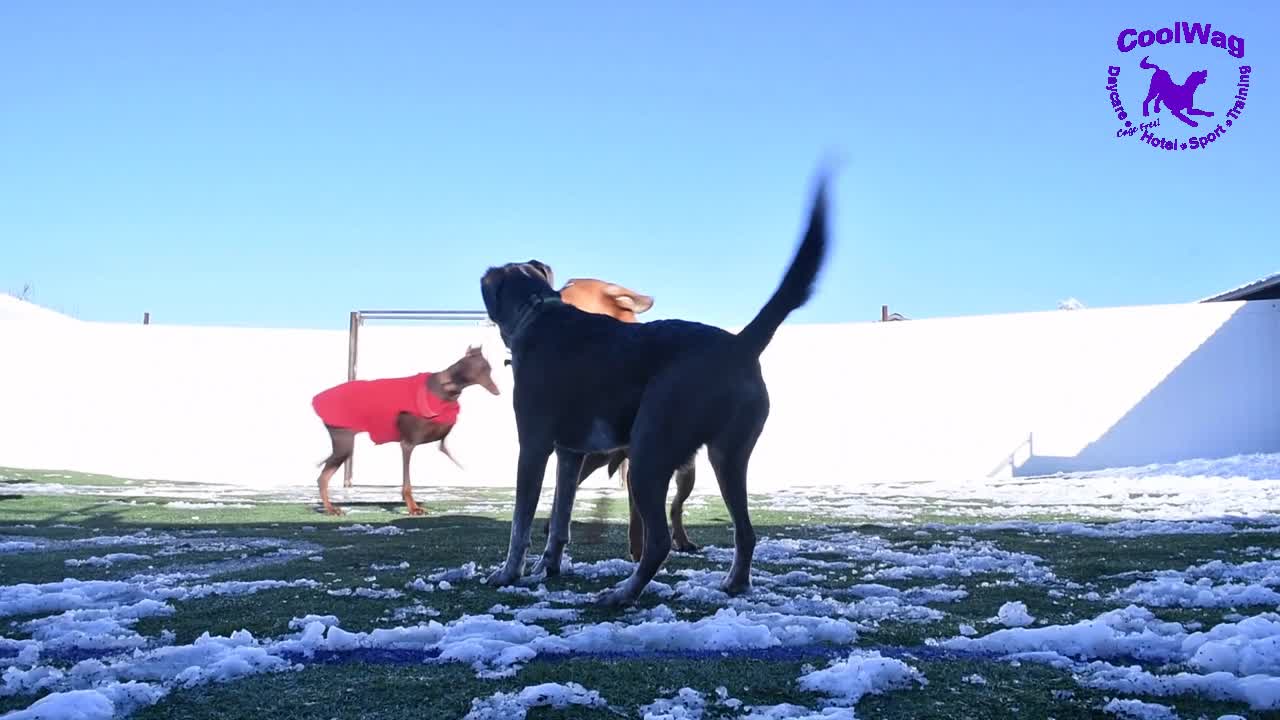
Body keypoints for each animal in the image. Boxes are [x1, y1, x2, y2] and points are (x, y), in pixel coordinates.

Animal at [309, 345, 499, 512]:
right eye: (484, 369)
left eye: (489, 369)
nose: (497, 391)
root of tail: (318, 398)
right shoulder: (408, 443)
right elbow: (407, 481)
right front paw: (413, 508)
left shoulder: (435, 431)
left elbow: (443, 442)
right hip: (343, 442)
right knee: (322, 478)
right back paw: (330, 509)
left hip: (343, 445)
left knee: (324, 474)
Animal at [481, 175, 829, 604]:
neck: (537, 311)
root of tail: (740, 343)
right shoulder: (570, 454)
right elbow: (561, 519)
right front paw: (549, 567)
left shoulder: (534, 446)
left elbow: (521, 523)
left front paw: (508, 573)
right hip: (726, 458)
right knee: (745, 532)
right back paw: (734, 582)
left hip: (649, 456)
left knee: (660, 541)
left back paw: (622, 593)